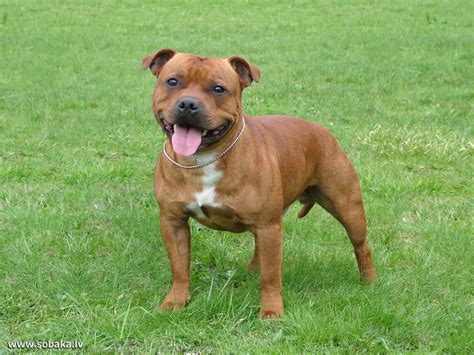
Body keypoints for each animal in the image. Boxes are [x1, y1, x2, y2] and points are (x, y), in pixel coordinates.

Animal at [142, 48, 378, 318]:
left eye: (218, 89)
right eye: (172, 82)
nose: (189, 104)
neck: (203, 160)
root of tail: (321, 130)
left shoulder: (269, 226)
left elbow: (271, 276)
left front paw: (272, 311)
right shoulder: (173, 222)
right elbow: (180, 267)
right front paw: (176, 301)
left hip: (348, 208)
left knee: (361, 245)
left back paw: (369, 281)